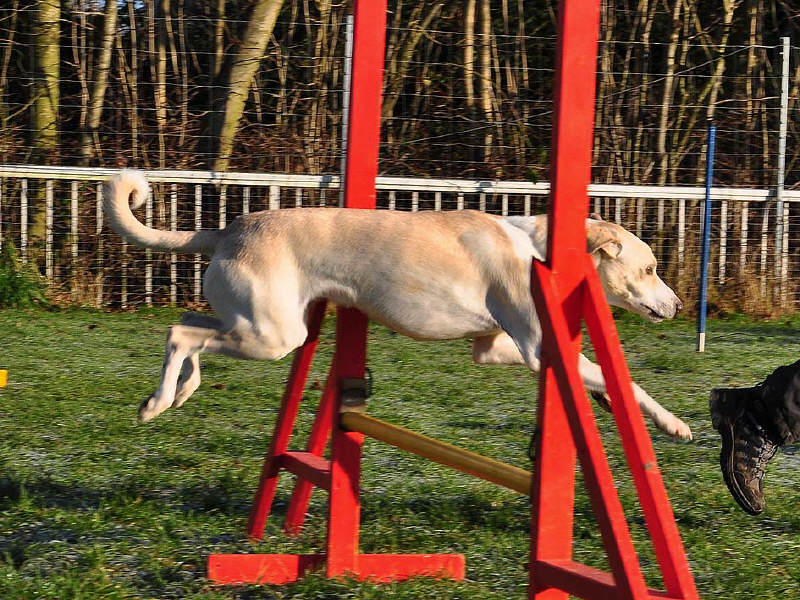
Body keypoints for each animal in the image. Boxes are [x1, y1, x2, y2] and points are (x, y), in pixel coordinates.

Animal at [103, 170, 691, 439]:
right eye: (649, 269)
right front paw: (674, 425)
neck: (538, 250)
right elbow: (630, 384)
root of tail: (229, 229)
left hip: (255, 324)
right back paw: (156, 403)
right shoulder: (538, 346)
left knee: (188, 328)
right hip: (272, 336)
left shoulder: (494, 349)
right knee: (181, 334)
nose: (680, 305)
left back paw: (180, 392)